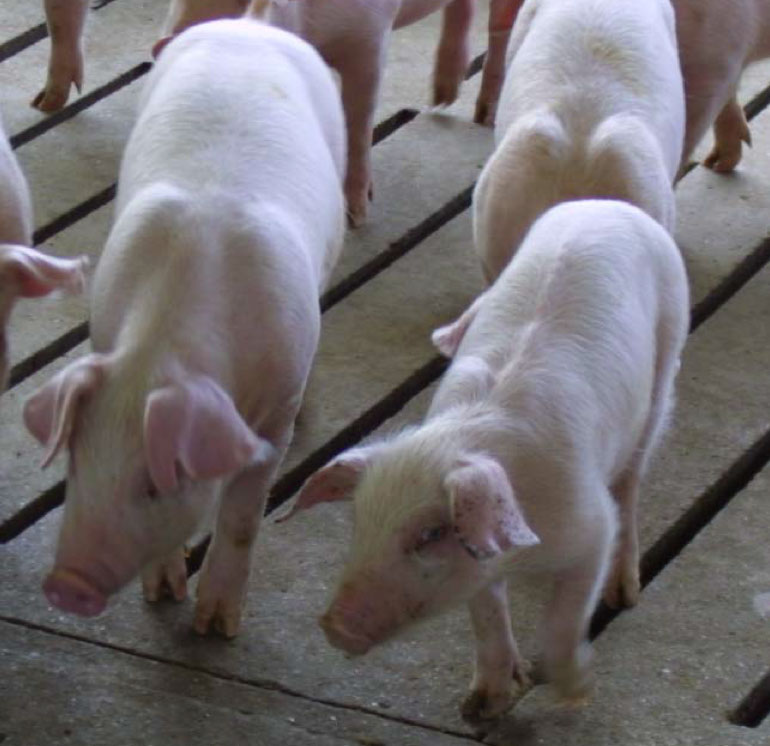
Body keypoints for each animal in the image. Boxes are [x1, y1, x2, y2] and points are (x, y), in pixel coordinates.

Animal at [23, 18, 346, 637]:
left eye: (155, 484)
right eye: (76, 462)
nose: (66, 585)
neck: (163, 345)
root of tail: (252, 24)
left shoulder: (275, 415)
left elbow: (243, 516)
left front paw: (215, 628)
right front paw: (160, 596)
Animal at [279, 200, 689, 719]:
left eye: (431, 533)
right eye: (359, 521)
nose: (336, 626)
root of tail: (605, 204)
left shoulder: (592, 528)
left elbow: (564, 620)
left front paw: (575, 695)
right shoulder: (483, 560)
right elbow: (487, 616)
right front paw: (480, 706)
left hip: (667, 354)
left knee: (632, 482)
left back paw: (624, 591)